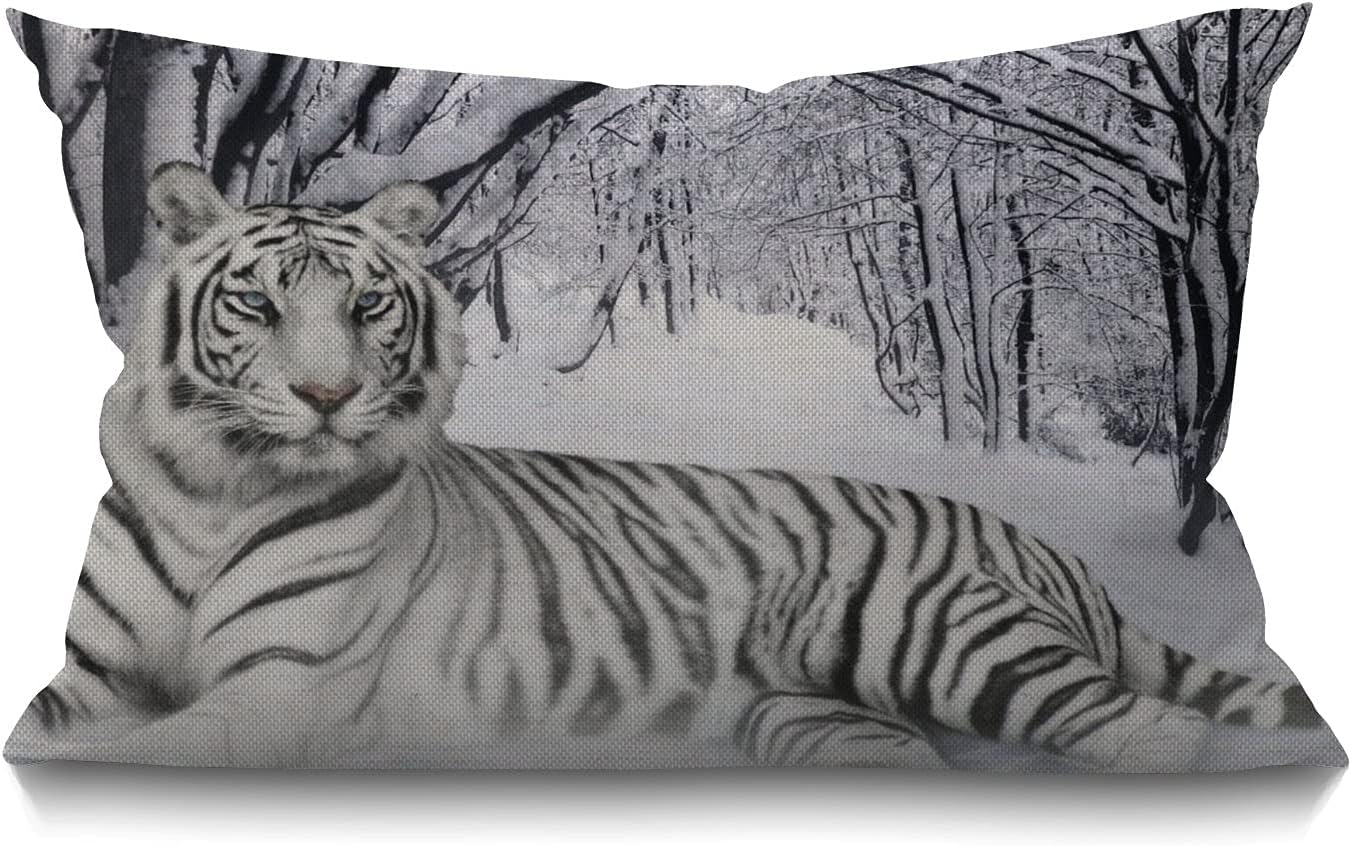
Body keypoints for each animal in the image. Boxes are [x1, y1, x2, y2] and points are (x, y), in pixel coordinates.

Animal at [4, 161, 1330, 771]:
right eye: (259, 306)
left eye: (368, 307)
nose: (328, 396)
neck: (213, 492)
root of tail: (1042, 546)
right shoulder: (100, 675)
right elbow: (63, 727)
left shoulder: (282, 688)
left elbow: (122, 753)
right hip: (820, 720)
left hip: (943, 637)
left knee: (1156, 732)